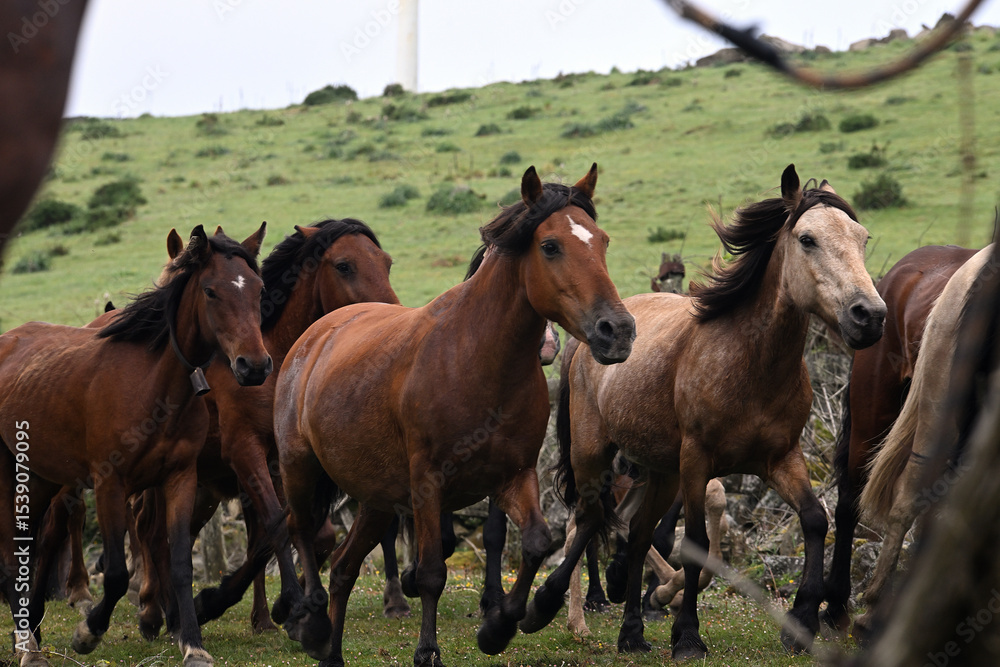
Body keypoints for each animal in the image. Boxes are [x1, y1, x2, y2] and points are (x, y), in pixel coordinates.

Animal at [0, 225, 272, 667]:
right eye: (211, 291)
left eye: (259, 289)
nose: (255, 366)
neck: (152, 385)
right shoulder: (110, 484)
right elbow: (115, 574)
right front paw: (88, 633)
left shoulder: (180, 478)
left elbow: (179, 562)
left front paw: (192, 642)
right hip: (11, 472)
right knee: (12, 555)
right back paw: (29, 646)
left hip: (42, 476)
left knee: (37, 542)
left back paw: (33, 631)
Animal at [272, 164, 635, 667]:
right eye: (550, 246)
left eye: (602, 241)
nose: (617, 331)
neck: (475, 360)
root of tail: (314, 336)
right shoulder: (428, 483)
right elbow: (430, 573)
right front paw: (428, 650)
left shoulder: (514, 475)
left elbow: (537, 542)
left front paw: (501, 625)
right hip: (299, 468)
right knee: (302, 531)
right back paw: (309, 622)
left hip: (377, 499)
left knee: (344, 566)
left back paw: (331, 651)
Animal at [517, 165, 886, 660]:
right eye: (807, 239)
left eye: (862, 238)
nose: (870, 315)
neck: (750, 363)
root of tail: (585, 340)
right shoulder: (696, 461)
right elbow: (692, 542)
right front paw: (687, 635)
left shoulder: (781, 458)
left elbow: (814, 519)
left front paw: (803, 622)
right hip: (595, 453)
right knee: (587, 519)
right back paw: (559, 612)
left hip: (658, 470)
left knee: (633, 533)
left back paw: (631, 632)